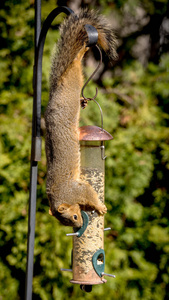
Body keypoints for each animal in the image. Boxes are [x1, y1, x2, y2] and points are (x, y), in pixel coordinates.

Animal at [44, 8, 117, 226]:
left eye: (75, 217)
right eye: (66, 222)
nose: (77, 227)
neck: (61, 196)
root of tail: (55, 91)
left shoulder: (76, 190)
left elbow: (88, 192)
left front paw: (99, 206)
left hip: (73, 85)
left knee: (75, 65)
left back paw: (82, 52)